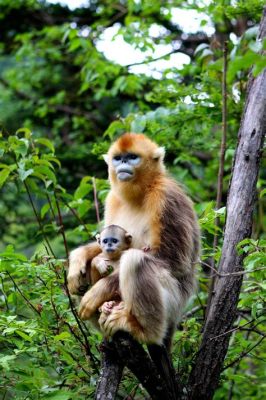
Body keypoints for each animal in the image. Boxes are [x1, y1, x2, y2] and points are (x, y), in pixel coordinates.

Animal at [68, 134, 200, 350]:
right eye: (118, 158)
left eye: (132, 157)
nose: (123, 164)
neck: (140, 192)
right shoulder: (112, 198)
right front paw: (78, 257)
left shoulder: (166, 196)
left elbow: (173, 260)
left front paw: (98, 291)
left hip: (173, 303)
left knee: (135, 260)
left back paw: (142, 331)